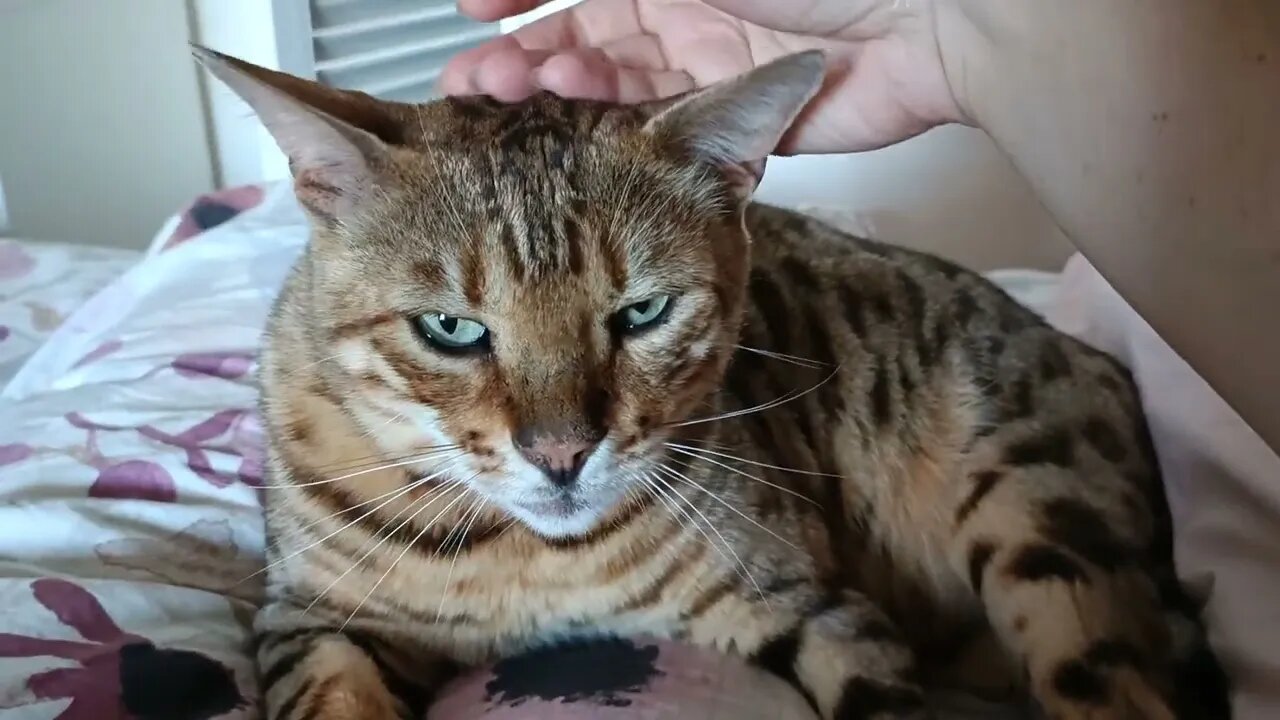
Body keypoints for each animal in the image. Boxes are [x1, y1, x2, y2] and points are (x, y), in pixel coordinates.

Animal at [194, 44, 1233, 717]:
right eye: (451, 328)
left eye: (643, 313)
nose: (562, 455)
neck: (524, 565)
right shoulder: (310, 620)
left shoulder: (804, 601)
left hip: (1042, 516)